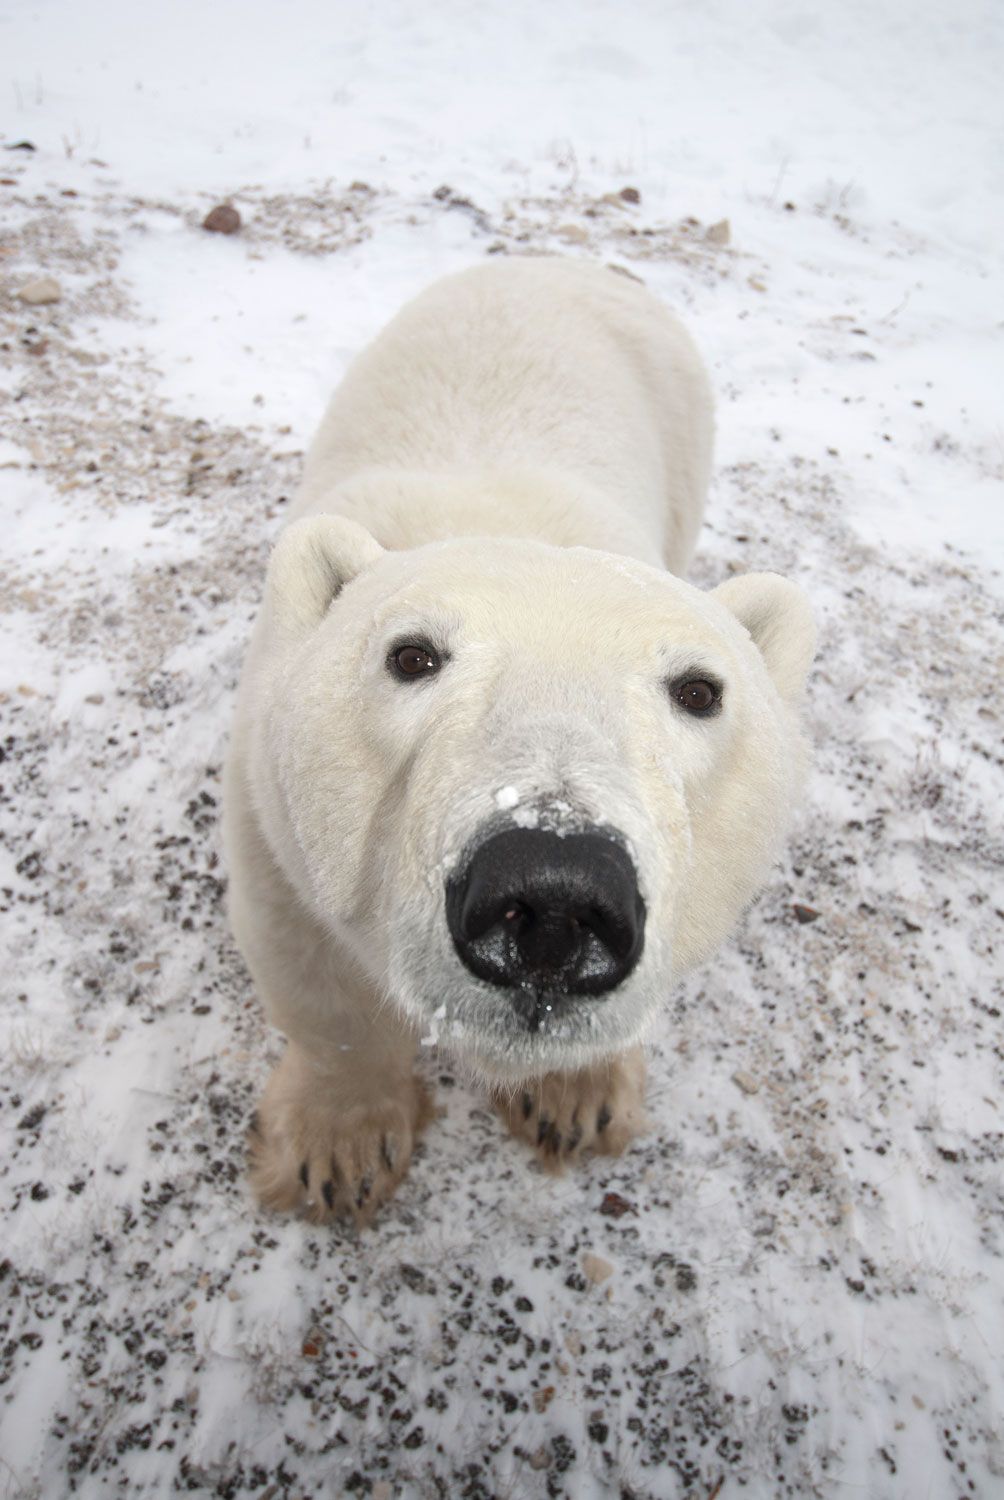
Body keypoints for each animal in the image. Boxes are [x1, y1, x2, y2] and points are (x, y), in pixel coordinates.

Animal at [220, 255, 816, 1218]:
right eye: (411, 655)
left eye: (699, 691)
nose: (555, 897)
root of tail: (566, 258)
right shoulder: (270, 821)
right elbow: (317, 978)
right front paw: (337, 1150)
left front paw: (575, 1102)